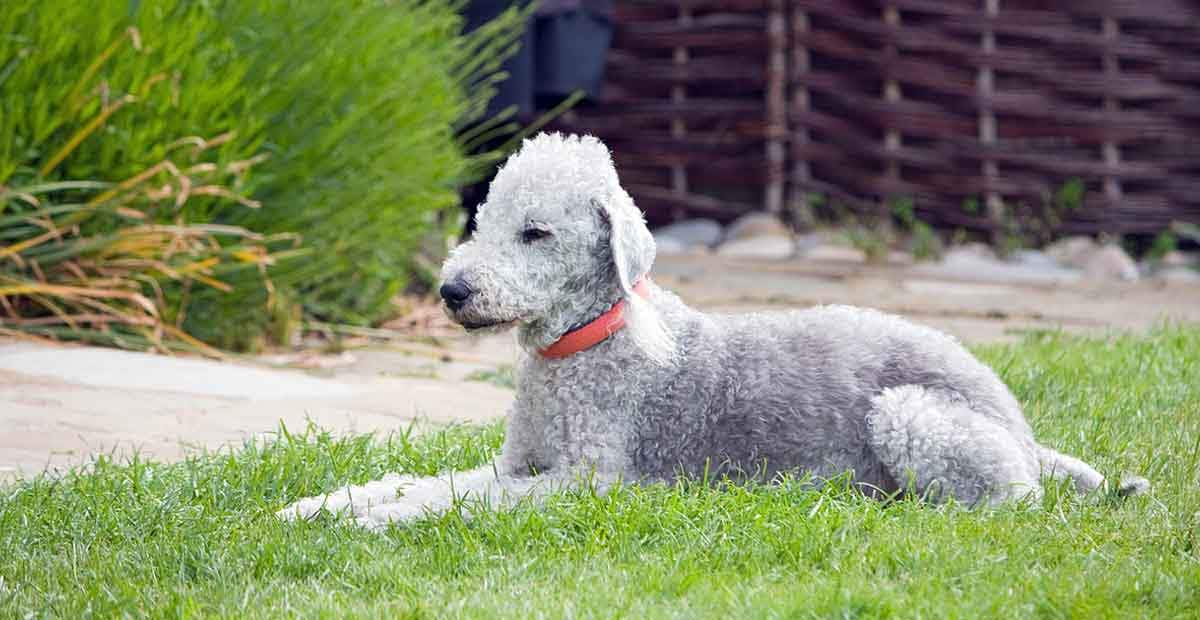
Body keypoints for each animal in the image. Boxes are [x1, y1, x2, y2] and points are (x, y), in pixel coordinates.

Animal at [278, 133, 1142, 530]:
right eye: (481, 221)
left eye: (536, 234)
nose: (452, 291)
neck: (581, 346)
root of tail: (1019, 424)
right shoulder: (518, 463)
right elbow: (424, 480)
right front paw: (318, 507)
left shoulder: (588, 483)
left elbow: (453, 500)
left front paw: (371, 521)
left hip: (913, 416)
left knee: (1010, 501)